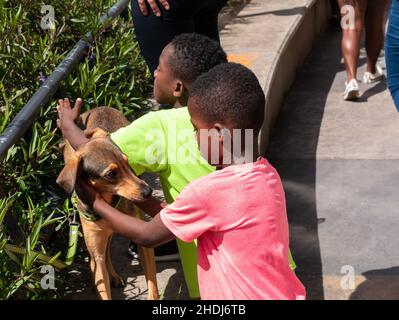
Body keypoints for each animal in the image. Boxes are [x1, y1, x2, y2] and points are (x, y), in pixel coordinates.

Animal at [56, 107, 159, 300]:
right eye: (111, 174)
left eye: (128, 162)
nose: (148, 192)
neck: (109, 203)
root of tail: (98, 108)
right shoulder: (96, 253)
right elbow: (100, 272)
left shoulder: (143, 241)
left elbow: (152, 284)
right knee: (105, 252)